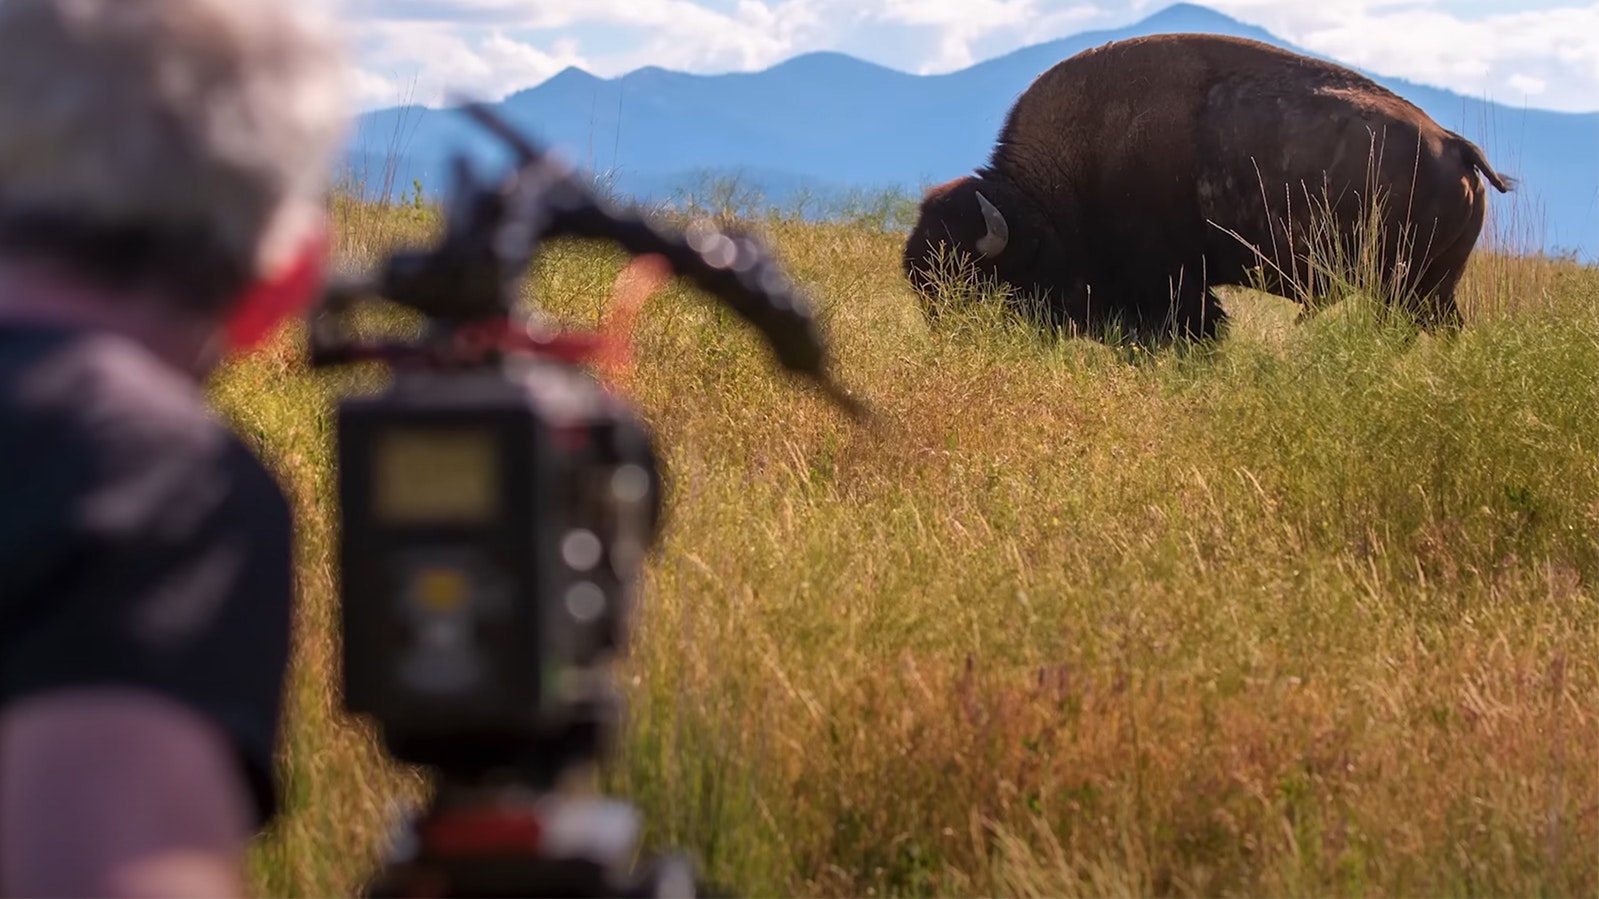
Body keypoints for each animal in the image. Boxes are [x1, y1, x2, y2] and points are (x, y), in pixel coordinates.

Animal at [902, 33, 1514, 342]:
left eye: (976, 281)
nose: (955, 341)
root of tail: (1455, 145)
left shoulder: (1176, 283)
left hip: (1410, 289)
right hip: (1429, 290)